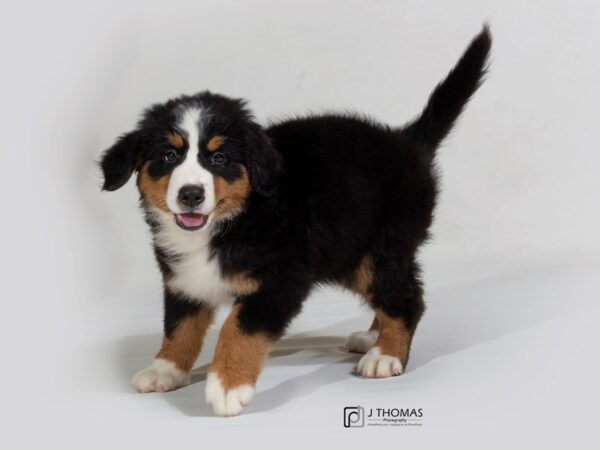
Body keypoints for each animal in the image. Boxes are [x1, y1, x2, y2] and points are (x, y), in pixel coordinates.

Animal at [99, 27, 492, 414]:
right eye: (168, 155)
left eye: (219, 158)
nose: (191, 194)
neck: (234, 221)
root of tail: (406, 140)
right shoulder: (183, 280)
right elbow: (179, 326)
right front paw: (165, 369)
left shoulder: (281, 280)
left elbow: (237, 328)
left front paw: (227, 385)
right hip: (347, 254)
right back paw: (372, 337)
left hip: (381, 251)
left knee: (408, 296)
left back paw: (386, 355)